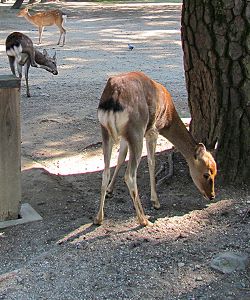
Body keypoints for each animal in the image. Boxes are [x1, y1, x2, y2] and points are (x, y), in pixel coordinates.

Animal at [94, 71, 217, 226]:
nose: (212, 196)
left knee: (105, 172)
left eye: (215, 172)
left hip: (106, 131)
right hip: (136, 131)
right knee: (130, 175)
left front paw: (110, 190)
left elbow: (121, 157)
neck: (168, 117)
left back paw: (98, 218)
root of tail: (114, 94)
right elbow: (152, 162)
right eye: (206, 174)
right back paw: (143, 219)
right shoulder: (153, 130)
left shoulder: (124, 136)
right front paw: (156, 201)